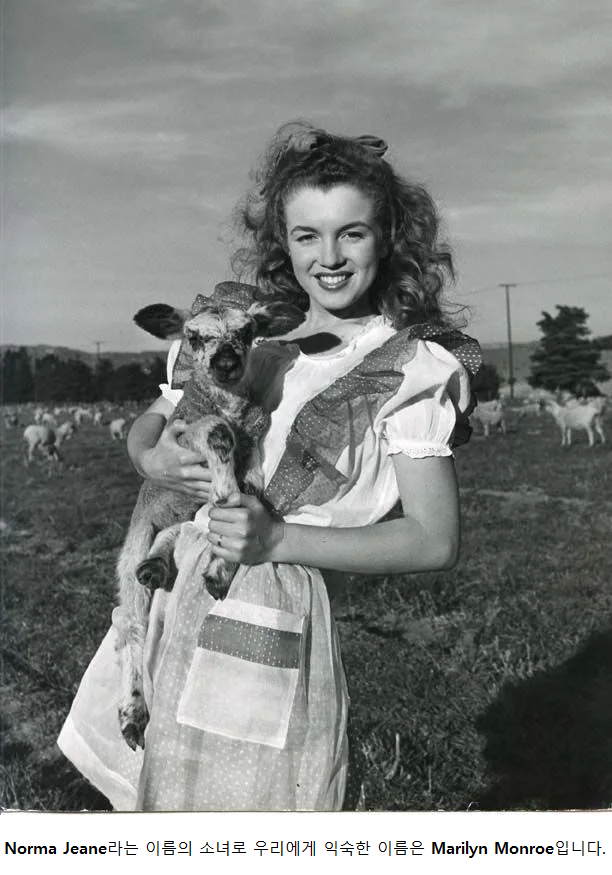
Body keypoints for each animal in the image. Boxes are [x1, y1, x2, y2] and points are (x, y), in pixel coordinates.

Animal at [114, 290, 302, 748]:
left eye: (247, 332)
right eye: (193, 336)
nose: (226, 363)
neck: (230, 406)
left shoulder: (253, 458)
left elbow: (248, 498)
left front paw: (221, 566)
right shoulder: (185, 433)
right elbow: (216, 432)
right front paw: (222, 489)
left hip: (169, 524)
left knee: (172, 534)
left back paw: (157, 566)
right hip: (131, 550)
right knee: (132, 628)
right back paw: (134, 712)